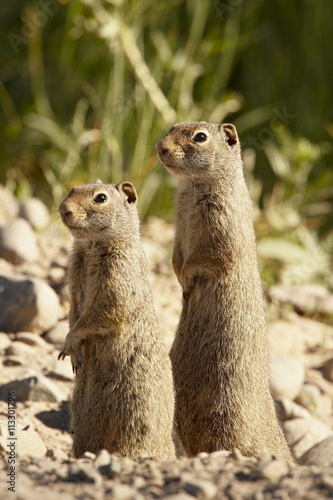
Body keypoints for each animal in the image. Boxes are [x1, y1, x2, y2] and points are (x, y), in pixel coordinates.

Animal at [56, 182, 176, 458]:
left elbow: (99, 314)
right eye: (73, 189)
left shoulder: (117, 282)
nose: (63, 209)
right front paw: (74, 353)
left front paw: (71, 342)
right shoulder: (74, 281)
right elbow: (74, 314)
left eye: (100, 198)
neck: (91, 247)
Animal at [156, 122, 294, 464]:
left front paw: (187, 283)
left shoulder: (220, 227)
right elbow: (176, 256)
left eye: (200, 137)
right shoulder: (178, 228)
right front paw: (180, 282)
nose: (161, 148)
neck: (192, 188)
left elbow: (205, 257)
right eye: (171, 127)